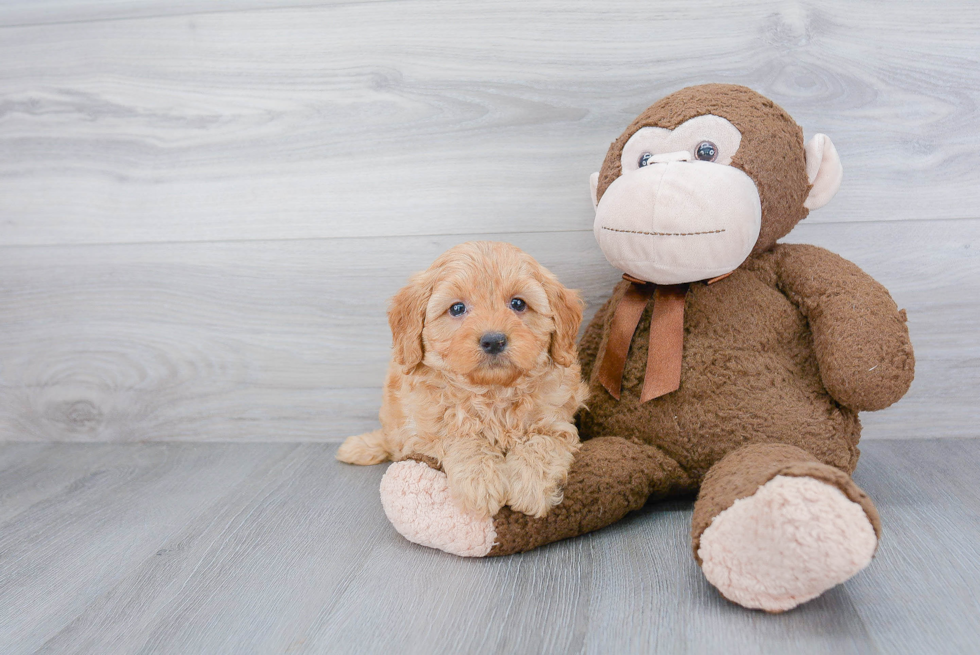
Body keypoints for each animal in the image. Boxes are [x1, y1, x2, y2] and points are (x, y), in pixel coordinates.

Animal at [336, 243, 584, 520]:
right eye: (457, 308)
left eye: (518, 304)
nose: (493, 340)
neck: (492, 392)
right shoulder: (424, 432)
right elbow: (461, 437)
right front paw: (480, 483)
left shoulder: (557, 422)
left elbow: (541, 441)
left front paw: (531, 485)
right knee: (390, 440)